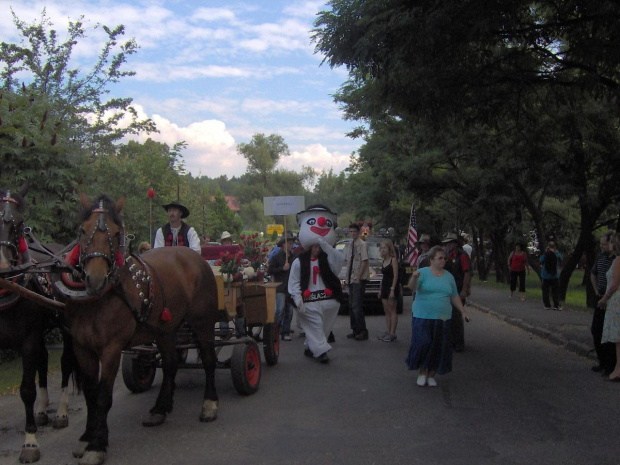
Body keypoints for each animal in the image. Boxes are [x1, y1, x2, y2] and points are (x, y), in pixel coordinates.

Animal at [0, 187, 78, 462]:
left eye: (19, 222)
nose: (2, 265)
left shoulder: (28, 340)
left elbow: (26, 390)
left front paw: (30, 441)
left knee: (65, 362)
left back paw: (62, 412)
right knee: (44, 360)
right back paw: (43, 410)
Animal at [67, 194, 220, 464]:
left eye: (116, 233)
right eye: (82, 231)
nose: (96, 280)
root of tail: (196, 258)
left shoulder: (111, 349)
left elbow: (103, 396)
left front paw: (97, 445)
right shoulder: (81, 348)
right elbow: (90, 394)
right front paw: (86, 437)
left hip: (203, 323)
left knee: (209, 360)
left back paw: (209, 405)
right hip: (164, 330)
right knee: (170, 364)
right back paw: (160, 408)